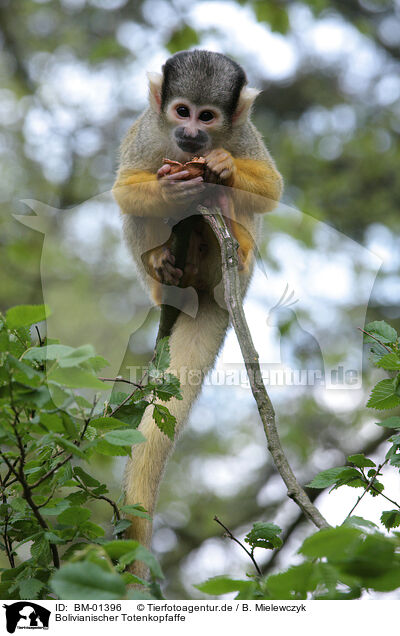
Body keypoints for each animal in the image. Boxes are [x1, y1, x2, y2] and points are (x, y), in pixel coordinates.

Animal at [111, 48, 282, 576]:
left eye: (207, 117)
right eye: (181, 111)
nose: (190, 133)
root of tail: (209, 293)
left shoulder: (243, 134)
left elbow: (271, 189)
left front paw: (223, 166)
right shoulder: (149, 131)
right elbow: (125, 189)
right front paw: (170, 190)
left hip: (230, 275)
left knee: (242, 213)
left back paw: (233, 236)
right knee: (138, 214)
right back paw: (160, 263)